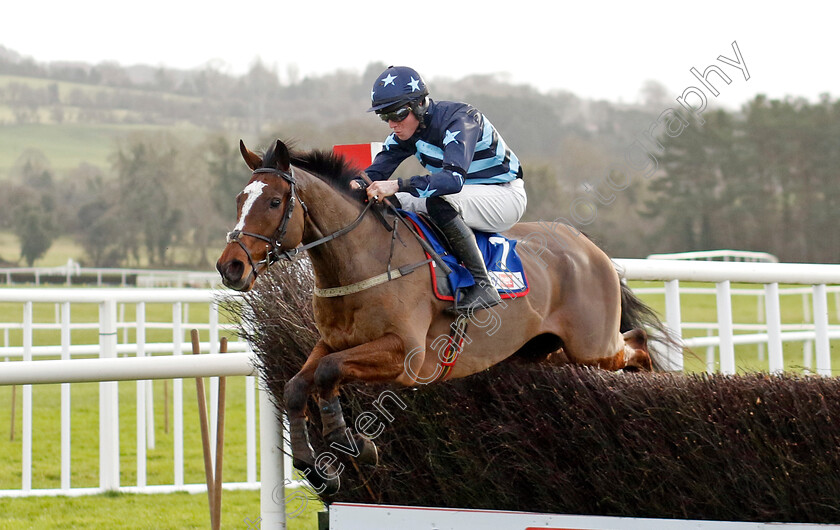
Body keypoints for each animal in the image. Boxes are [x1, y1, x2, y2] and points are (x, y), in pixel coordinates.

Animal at [215, 138, 668, 492]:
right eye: (238, 200)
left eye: (275, 201)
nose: (229, 267)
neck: (366, 261)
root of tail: (589, 247)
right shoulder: (333, 341)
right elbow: (297, 385)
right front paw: (312, 464)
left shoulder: (406, 357)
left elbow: (328, 373)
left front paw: (353, 442)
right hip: (544, 350)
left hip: (593, 346)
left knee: (638, 344)